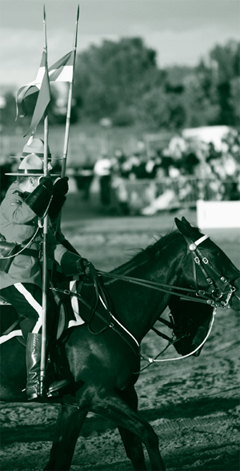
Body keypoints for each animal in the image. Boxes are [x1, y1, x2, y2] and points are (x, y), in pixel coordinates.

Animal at [0, 218, 240, 471]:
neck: (107, 314)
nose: (237, 287)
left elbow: (71, 456)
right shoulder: (97, 396)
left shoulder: (86, 403)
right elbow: (148, 433)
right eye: (214, 253)